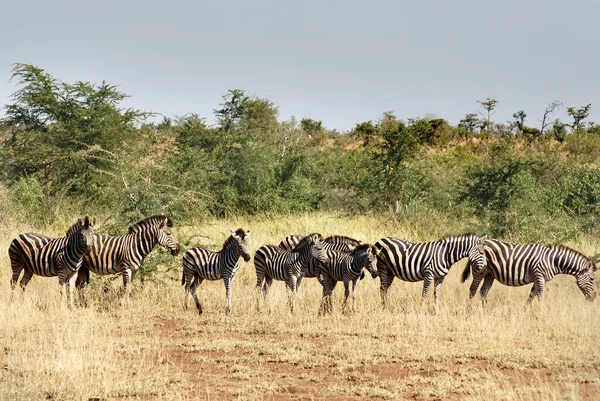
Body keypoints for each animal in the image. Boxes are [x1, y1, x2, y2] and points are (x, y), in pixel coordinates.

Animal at [464, 239, 596, 304]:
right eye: (592, 279)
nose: (594, 298)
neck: (552, 260)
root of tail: (480, 243)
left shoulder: (540, 278)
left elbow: (532, 295)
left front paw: (526, 311)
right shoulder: (539, 275)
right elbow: (540, 296)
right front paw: (542, 313)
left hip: (489, 274)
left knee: (483, 291)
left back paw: (484, 309)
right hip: (479, 271)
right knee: (472, 289)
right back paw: (470, 310)